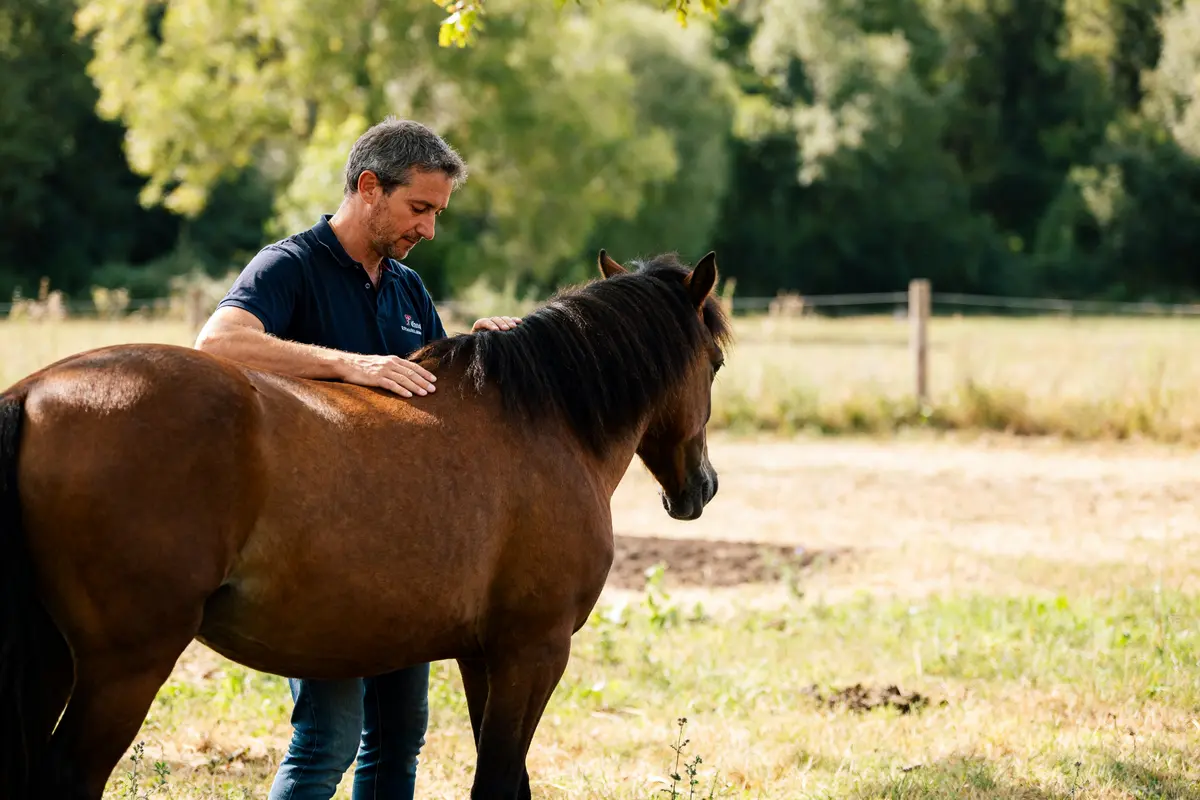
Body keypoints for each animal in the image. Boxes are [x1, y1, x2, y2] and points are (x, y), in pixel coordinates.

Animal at [0, 248, 732, 799]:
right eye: (716, 363)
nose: (701, 488)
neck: (547, 419)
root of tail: (32, 393)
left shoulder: (482, 656)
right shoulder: (534, 651)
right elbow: (499, 783)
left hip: (58, 662)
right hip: (124, 670)